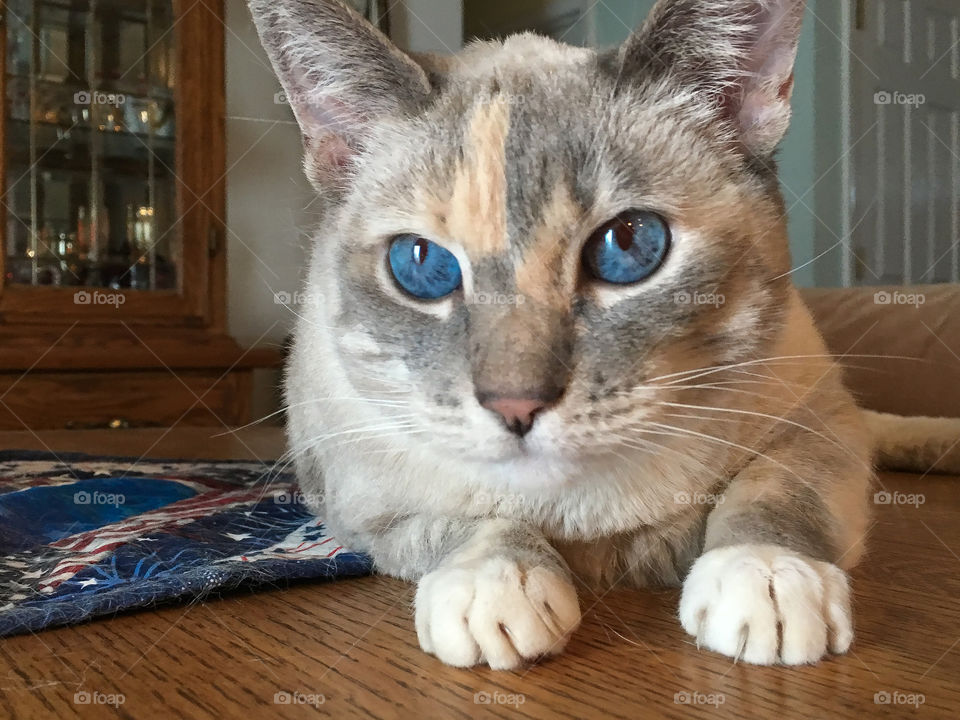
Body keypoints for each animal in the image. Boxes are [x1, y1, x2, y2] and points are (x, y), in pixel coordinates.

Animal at [249, 0, 960, 668]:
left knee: (881, 428)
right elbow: (473, 520)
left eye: (629, 246)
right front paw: (499, 587)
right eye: (421, 265)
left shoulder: (817, 424)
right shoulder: (361, 504)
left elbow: (775, 493)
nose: (516, 406)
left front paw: (763, 577)